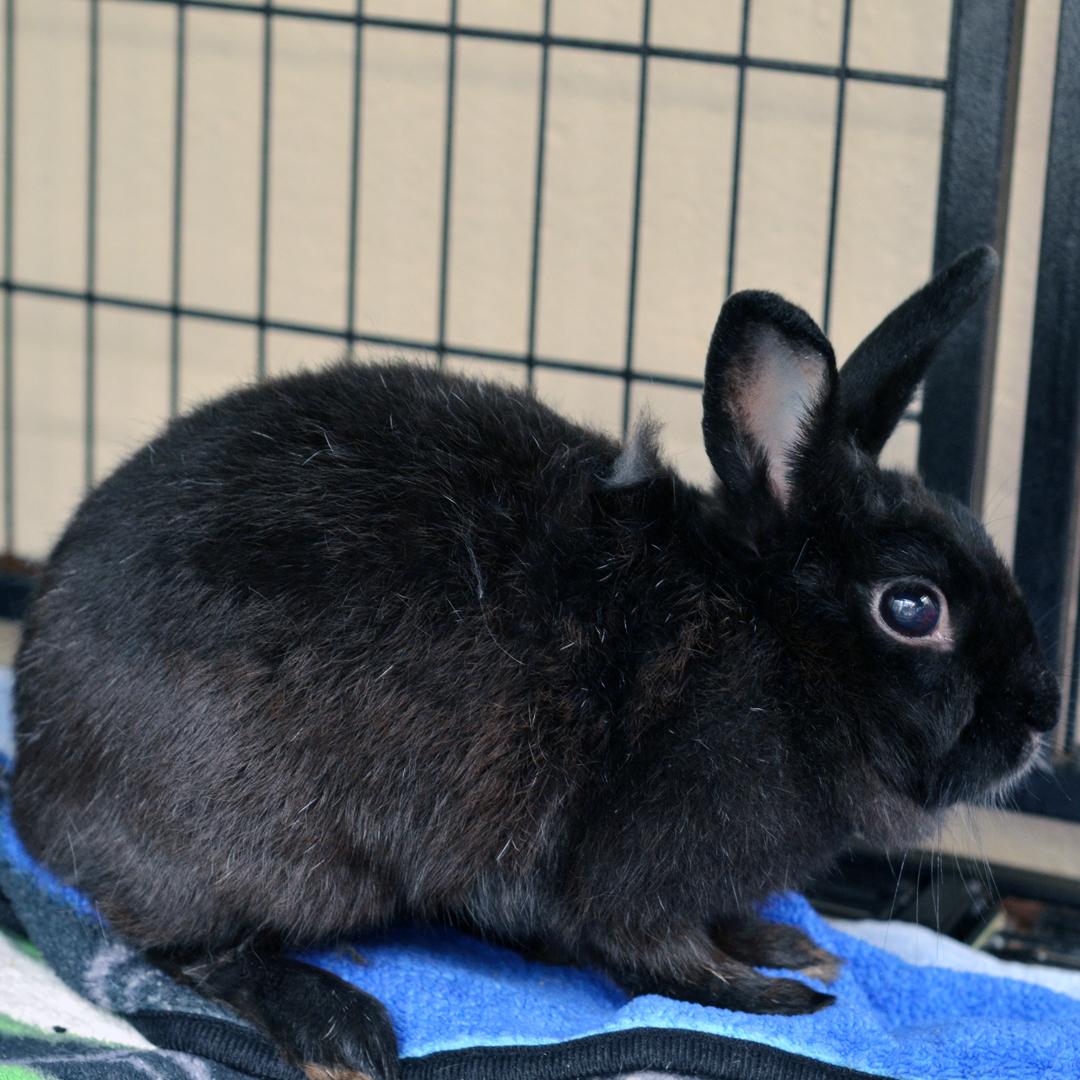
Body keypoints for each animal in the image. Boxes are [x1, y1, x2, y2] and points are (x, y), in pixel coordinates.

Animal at [10, 245, 1057, 1080]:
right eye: (912, 608)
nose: (1043, 717)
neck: (773, 641)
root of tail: (37, 769)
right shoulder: (643, 861)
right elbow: (660, 955)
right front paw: (773, 994)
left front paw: (784, 943)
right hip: (289, 854)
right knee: (186, 948)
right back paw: (342, 1028)